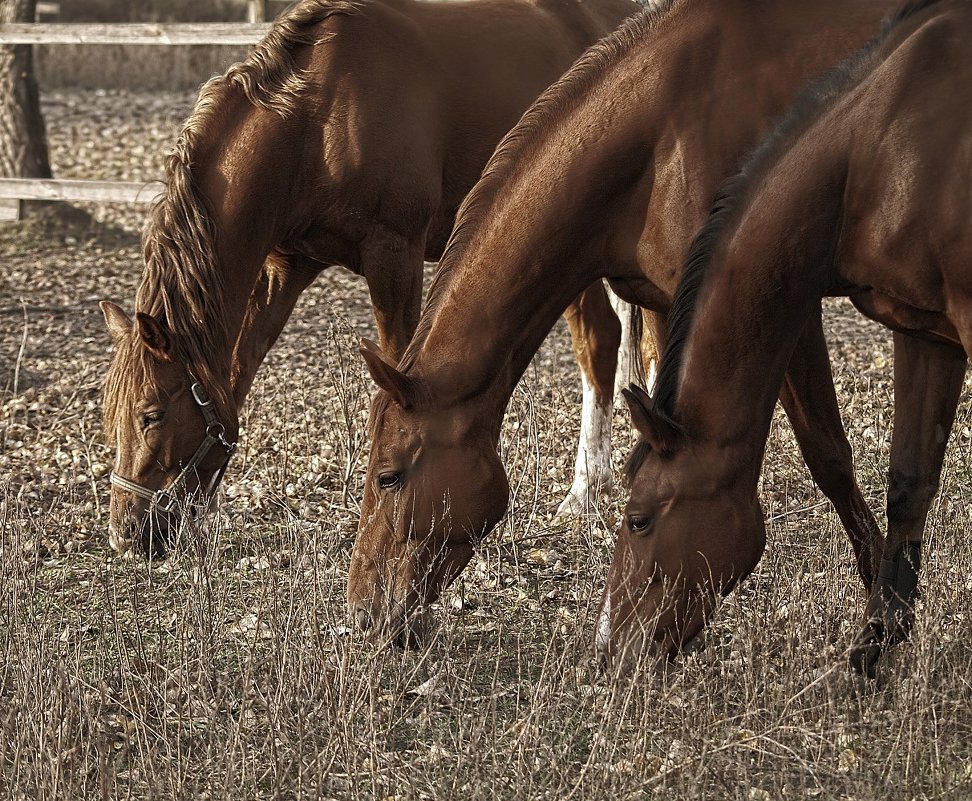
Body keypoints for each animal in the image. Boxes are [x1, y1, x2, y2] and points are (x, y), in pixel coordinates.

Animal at [97, 0, 632, 552]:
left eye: (152, 414)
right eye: (109, 415)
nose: (124, 534)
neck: (318, 117)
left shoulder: (393, 252)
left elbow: (397, 367)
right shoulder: (284, 269)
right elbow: (235, 376)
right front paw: (209, 513)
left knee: (602, 340)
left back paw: (586, 490)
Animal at [346, 0, 900, 644]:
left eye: (389, 476)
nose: (363, 610)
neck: (666, 131)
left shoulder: (781, 305)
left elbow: (828, 455)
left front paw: (881, 607)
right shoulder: (667, 305)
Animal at [600, 0, 972, 680]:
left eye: (638, 521)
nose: (614, 652)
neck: (881, 144)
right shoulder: (925, 330)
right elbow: (910, 482)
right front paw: (875, 646)